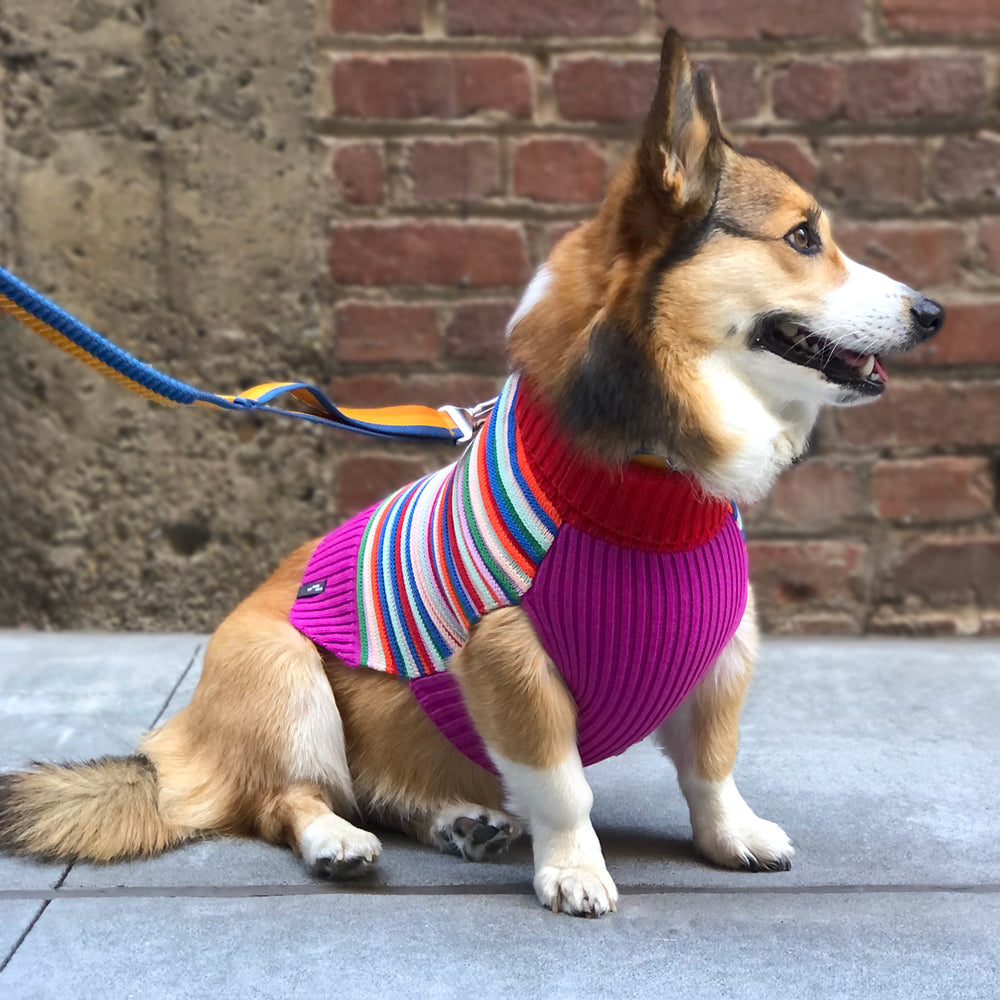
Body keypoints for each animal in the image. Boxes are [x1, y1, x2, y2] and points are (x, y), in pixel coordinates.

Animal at [0, 31, 940, 916]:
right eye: (802, 238)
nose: (934, 314)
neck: (648, 483)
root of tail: (174, 746)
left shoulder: (722, 660)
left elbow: (711, 767)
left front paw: (731, 836)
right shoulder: (513, 665)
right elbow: (564, 787)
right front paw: (574, 870)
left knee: (384, 796)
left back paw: (462, 821)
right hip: (284, 675)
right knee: (288, 799)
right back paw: (336, 841)